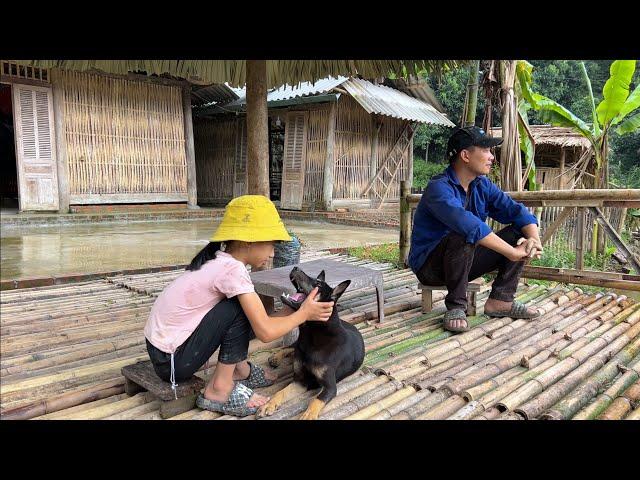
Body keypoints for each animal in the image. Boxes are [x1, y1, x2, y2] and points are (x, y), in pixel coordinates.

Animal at [256, 266, 364, 420]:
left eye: (318, 284)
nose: (295, 267)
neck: (314, 333)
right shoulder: (300, 381)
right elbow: (281, 392)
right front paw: (269, 404)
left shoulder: (330, 387)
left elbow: (317, 400)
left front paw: (308, 415)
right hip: (297, 345)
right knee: (290, 347)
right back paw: (276, 357)